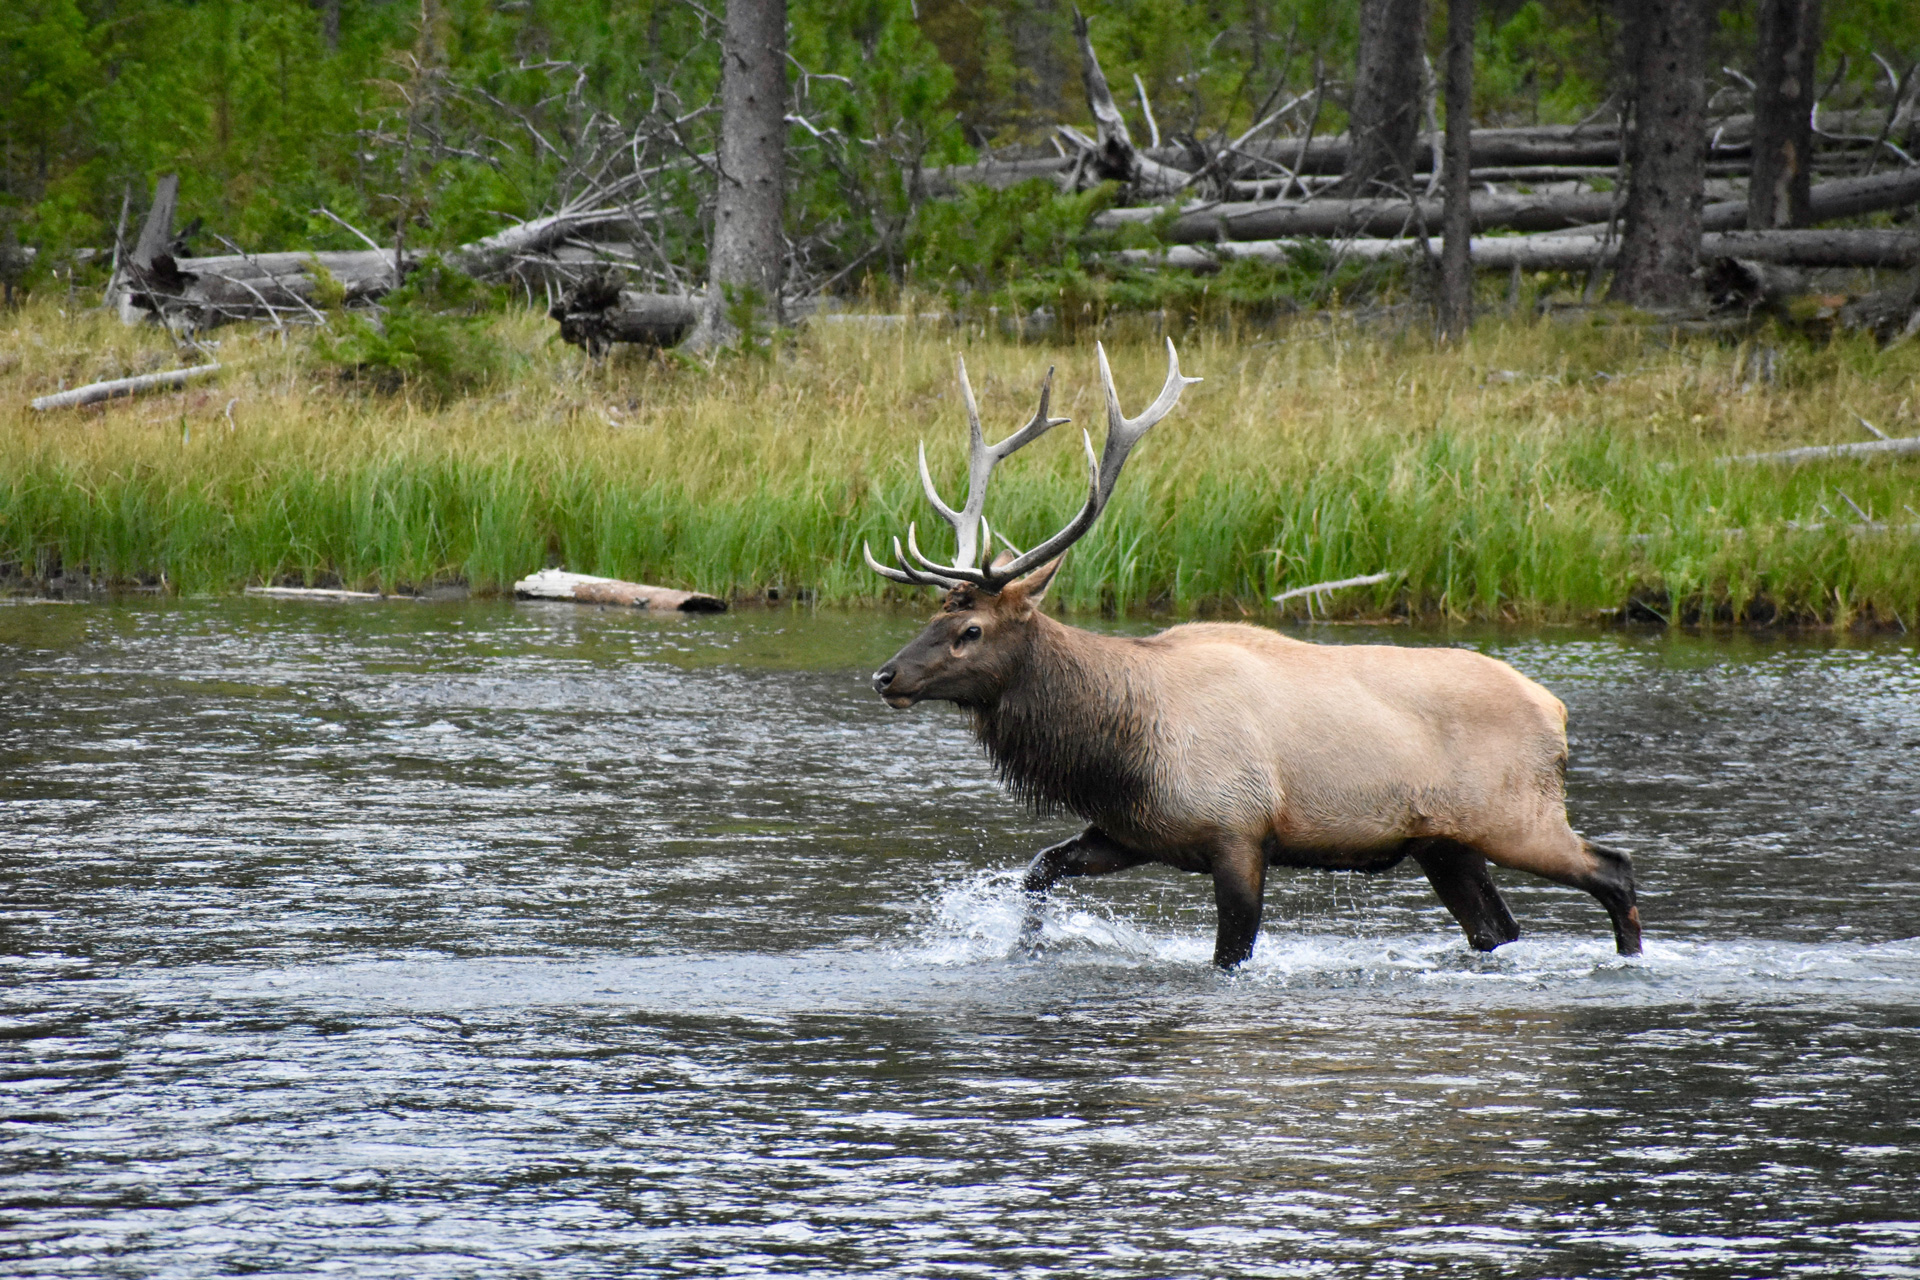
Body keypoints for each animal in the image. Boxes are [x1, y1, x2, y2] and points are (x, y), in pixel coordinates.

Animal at [864, 339, 1641, 969]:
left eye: (971, 630)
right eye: (935, 614)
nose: (885, 675)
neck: (1116, 749)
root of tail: (1556, 710)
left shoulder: (1239, 832)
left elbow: (1230, 953)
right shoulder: (1132, 832)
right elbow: (1038, 870)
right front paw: (1021, 948)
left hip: (1515, 816)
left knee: (1614, 868)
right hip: (1445, 842)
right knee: (1498, 928)